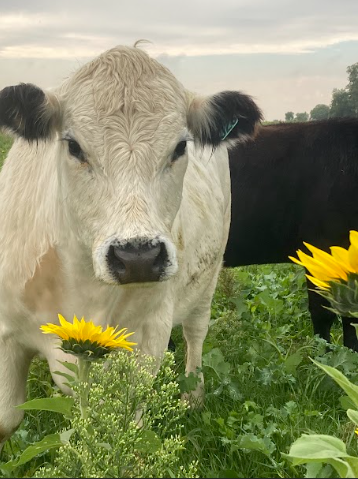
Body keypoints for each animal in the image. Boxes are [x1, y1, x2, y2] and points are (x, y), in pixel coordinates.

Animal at [0, 45, 262, 446]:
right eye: (73, 146)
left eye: (180, 146)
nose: (137, 257)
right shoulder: (7, 333)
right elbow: (7, 419)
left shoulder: (148, 337)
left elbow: (127, 430)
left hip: (207, 280)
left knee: (196, 333)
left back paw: (193, 394)